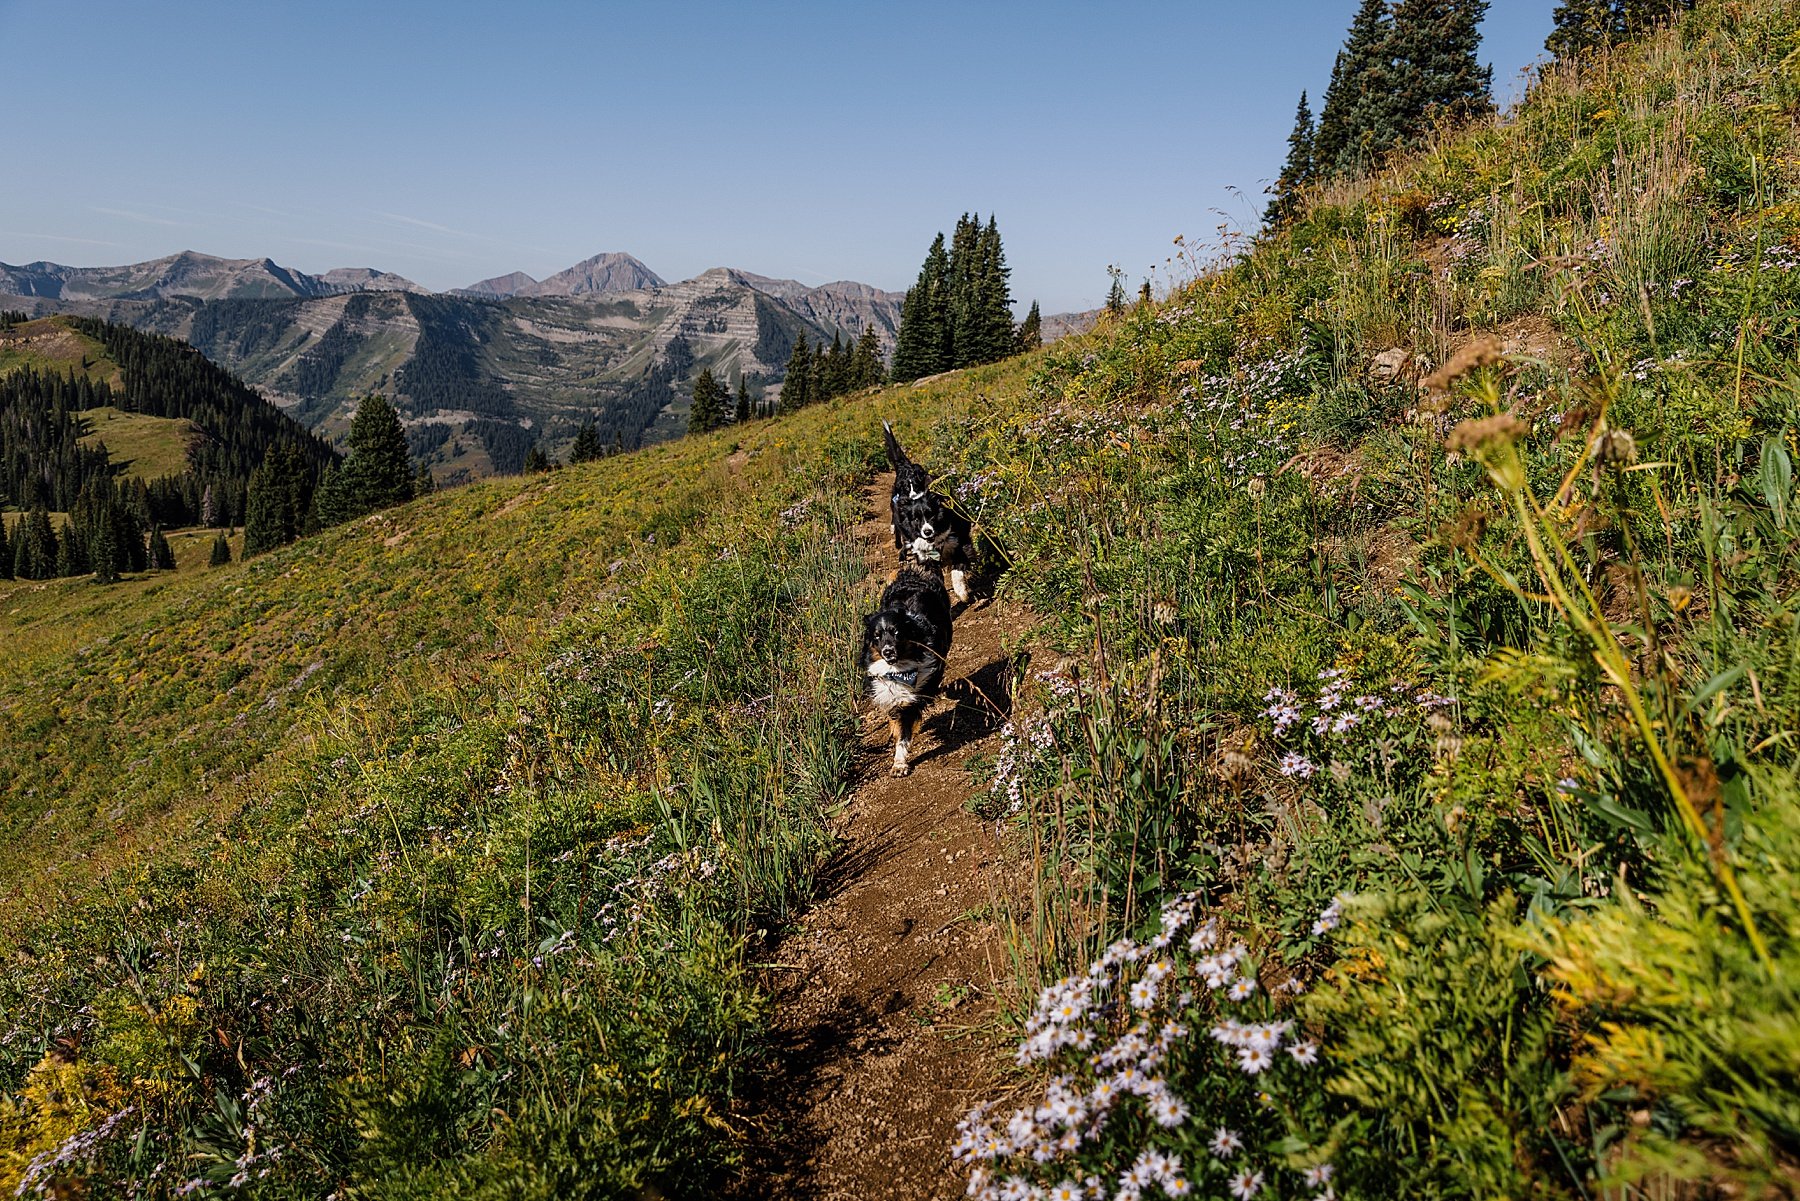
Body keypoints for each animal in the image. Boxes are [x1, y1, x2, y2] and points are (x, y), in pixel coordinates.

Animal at [856, 565, 957, 781]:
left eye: (896, 633)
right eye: (877, 636)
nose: (888, 651)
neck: (898, 670)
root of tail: (913, 572)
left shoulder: (914, 695)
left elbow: (904, 730)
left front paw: (900, 764)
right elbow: (896, 720)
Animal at [882, 424, 979, 612]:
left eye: (931, 515)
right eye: (916, 519)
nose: (927, 532)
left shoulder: (959, 542)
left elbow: (958, 569)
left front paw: (962, 593)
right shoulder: (926, 557)